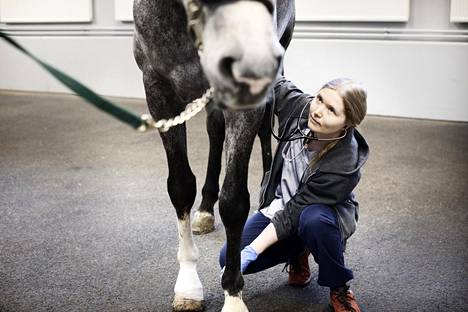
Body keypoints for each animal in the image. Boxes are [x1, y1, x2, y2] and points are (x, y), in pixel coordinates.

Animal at [133, 1, 292, 310]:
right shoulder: (159, 91)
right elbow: (180, 186)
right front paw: (188, 287)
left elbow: (234, 201)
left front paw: (233, 295)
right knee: (215, 130)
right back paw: (206, 208)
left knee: (265, 124)